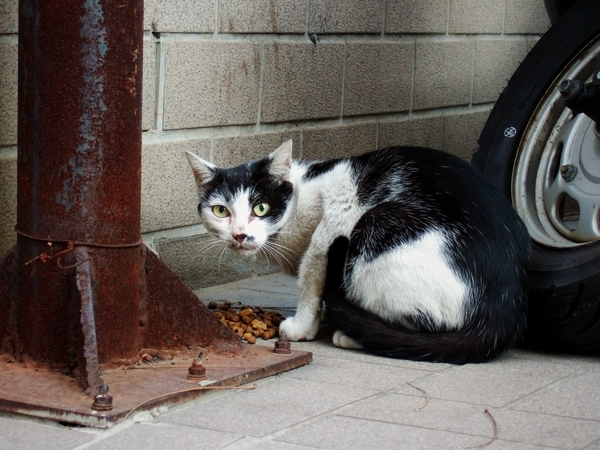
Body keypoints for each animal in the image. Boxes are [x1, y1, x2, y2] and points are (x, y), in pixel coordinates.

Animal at [186, 141, 528, 366]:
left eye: (260, 208)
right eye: (221, 211)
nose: (240, 234)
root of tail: (505, 308)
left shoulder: (334, 220)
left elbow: (310, 279)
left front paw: (301, 327)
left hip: (377, 223)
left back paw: (355, 334)